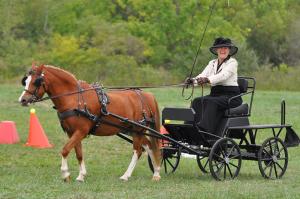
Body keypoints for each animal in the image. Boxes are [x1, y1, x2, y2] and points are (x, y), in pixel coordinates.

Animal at [18, 64, 162, 182]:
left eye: (36, 82)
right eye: (26, 81)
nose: (23, 100)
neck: (74, 99)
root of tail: (146, 95)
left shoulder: (81, 131)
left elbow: (65, 150)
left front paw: (65, 174)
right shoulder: (72, 132)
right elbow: (78, 153)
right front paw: (81, 176)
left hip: (138, 130)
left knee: (138, 151)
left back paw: (126, 175)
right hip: (131, 130)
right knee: (149, 146)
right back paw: (156, 172)